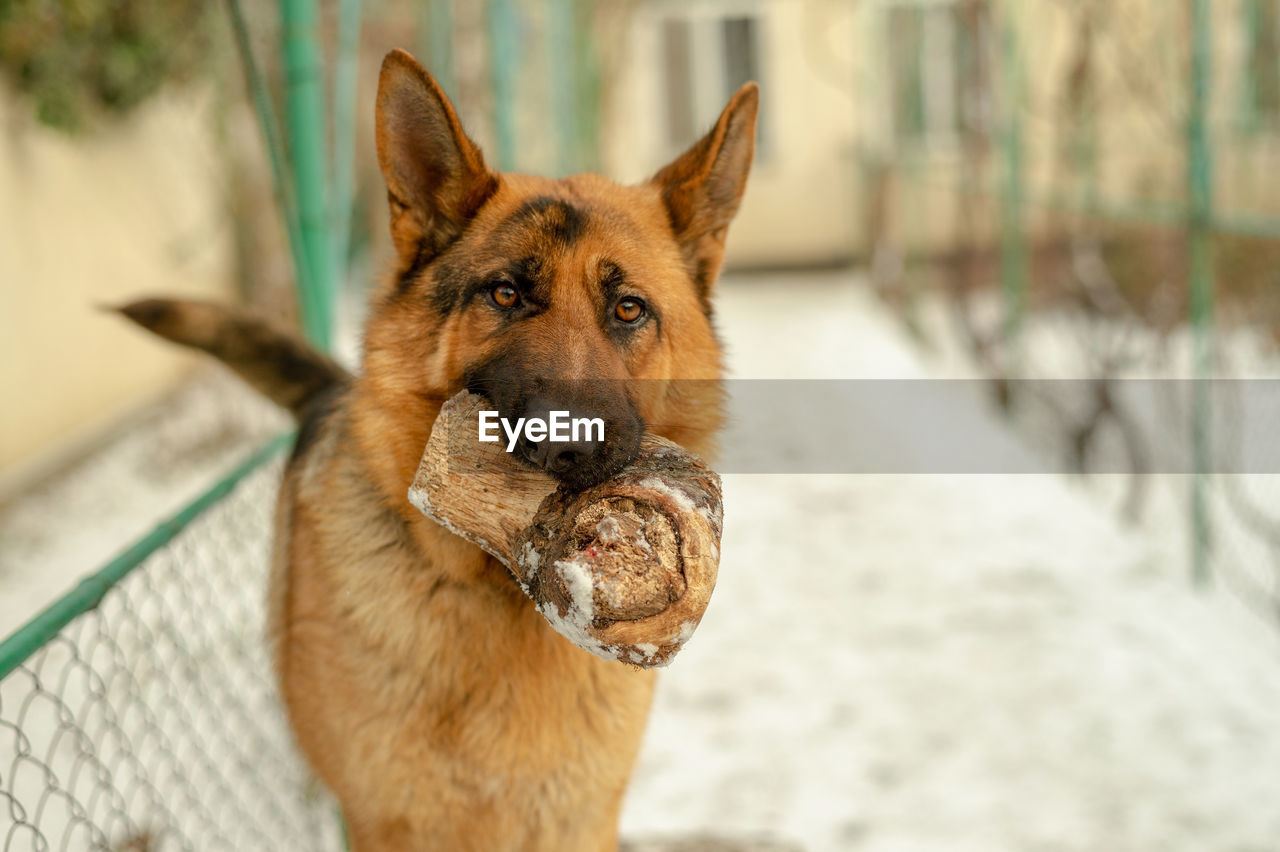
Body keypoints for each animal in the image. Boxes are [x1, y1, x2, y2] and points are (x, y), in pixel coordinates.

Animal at [122, 49, 747, 844]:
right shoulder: (385, 823)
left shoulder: (577, 822)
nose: (568, 447)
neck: (505, 593)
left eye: (628, 309)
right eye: (506, 294)